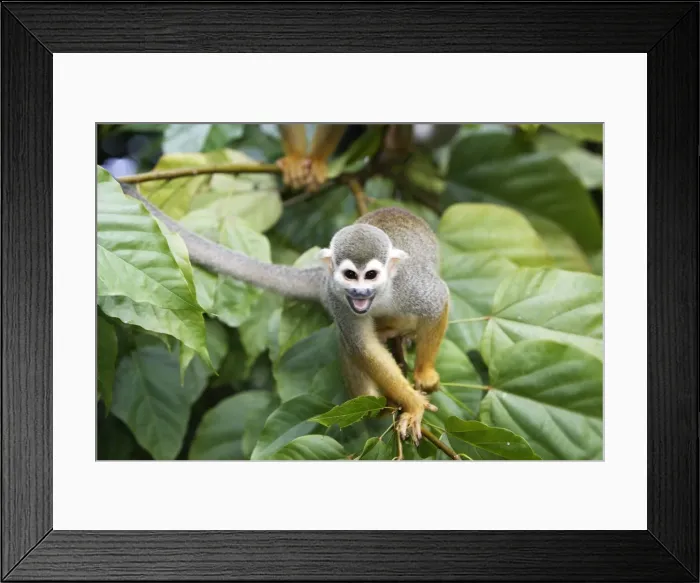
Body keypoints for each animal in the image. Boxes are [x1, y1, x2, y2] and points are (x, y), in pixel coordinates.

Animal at [119, 183, 449, 444]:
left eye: (370, 275)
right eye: (350, 276)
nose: (359, 292)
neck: (379, 296)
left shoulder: (409, 286)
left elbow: (439, 301)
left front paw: (424, 375)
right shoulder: (337, 298)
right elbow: (364, 347)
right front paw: (410, 403)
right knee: (350, 342)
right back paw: (375, 401)